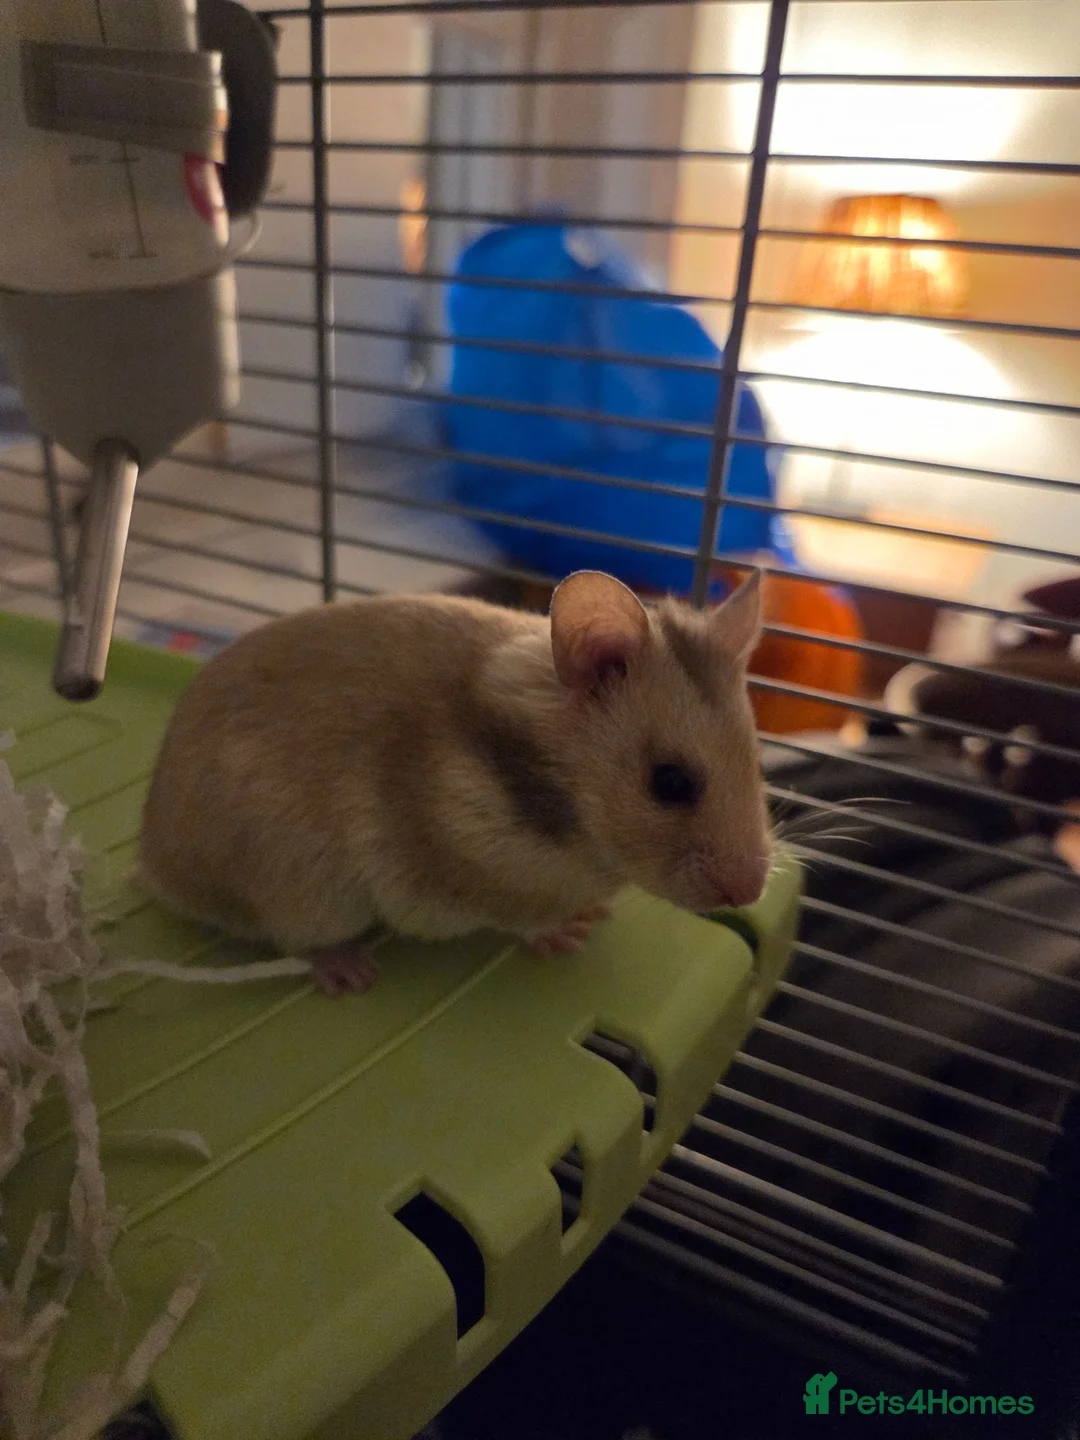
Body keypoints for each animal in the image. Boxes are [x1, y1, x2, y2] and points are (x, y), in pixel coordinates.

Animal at [137, 569, 771, 995]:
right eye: (671, 782)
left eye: (758, 763)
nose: (750, 893)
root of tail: (154, 864)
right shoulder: (469, 880)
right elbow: (525, 918)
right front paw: (567, 934)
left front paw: (595, 914)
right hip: (296, 887)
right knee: (297, 939)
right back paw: (352, 974)